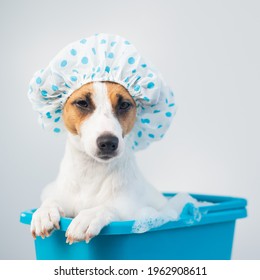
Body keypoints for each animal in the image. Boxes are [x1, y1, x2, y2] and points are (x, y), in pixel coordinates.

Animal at [31, 80, 167, 243]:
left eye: (124, 104)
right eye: (82, 103)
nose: (108, 142)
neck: (91, 171)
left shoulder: (132, 209)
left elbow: (109, 207)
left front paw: (89, 217)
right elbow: (51, 199)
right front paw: (44, 212)